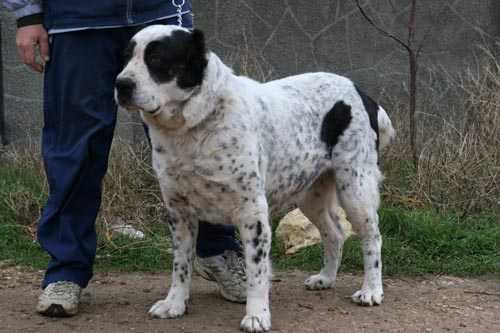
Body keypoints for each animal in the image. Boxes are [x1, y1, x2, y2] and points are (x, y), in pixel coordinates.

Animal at [114, 24, 394, 330]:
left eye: (157, 59)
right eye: (126, 57)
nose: (121, 85)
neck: (193, 129)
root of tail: (362, 93)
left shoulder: (252, 212)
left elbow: (256, 272)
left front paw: (257, 315)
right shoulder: (179, 213)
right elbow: (180, 265)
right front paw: (174, 303)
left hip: (355, 188)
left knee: (373, 237)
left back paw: (371, 290)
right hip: (312, 194)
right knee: (335, 233)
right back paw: (326, 279)